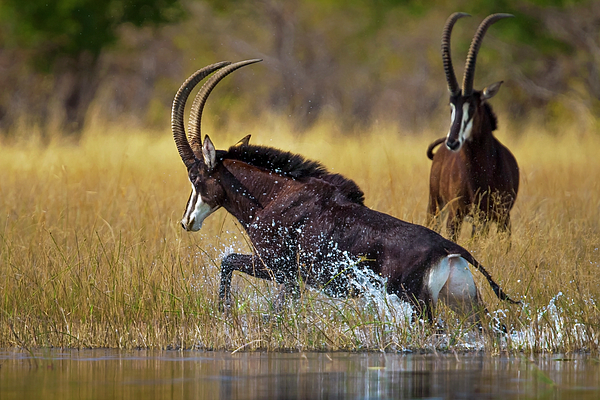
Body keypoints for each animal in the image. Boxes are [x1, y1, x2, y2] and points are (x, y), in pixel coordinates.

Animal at [173, 58, 520, 322]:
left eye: (195, 177)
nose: (186, 221)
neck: (273, 197)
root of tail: (448, 249)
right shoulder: (291, 277)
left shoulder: (277, 267)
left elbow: (229, 263)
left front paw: (225, 313)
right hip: (464, 302)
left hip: (417, 304)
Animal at [426, 12, 520, 242]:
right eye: (451, 107)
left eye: (473, 107)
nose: (452, 142)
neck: (481, 171)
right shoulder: (455, 215)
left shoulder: (503, 217)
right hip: (436, 207)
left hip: (482, 220)